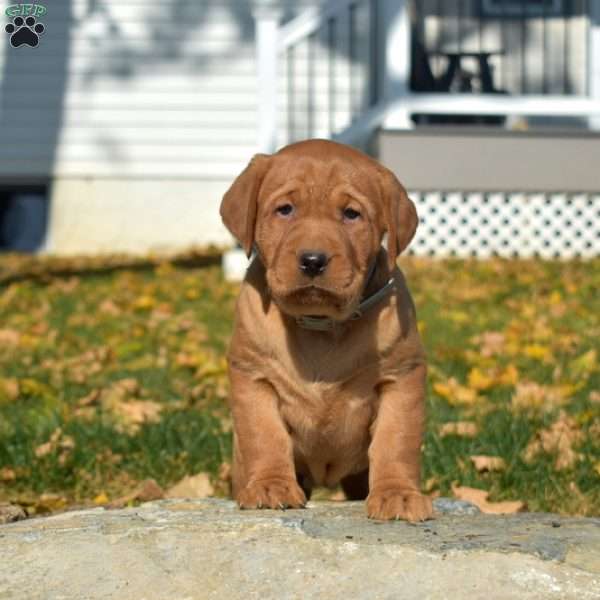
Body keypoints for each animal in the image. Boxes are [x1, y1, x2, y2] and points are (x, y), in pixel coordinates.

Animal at [219, 137, 432, 520]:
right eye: (285, 209)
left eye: (351, 214)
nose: (313, 260)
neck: (320, 324)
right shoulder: (253, 376)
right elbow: (264, 435)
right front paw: (270, 485)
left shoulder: (402, 376)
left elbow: (396, 440)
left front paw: (398, 493)